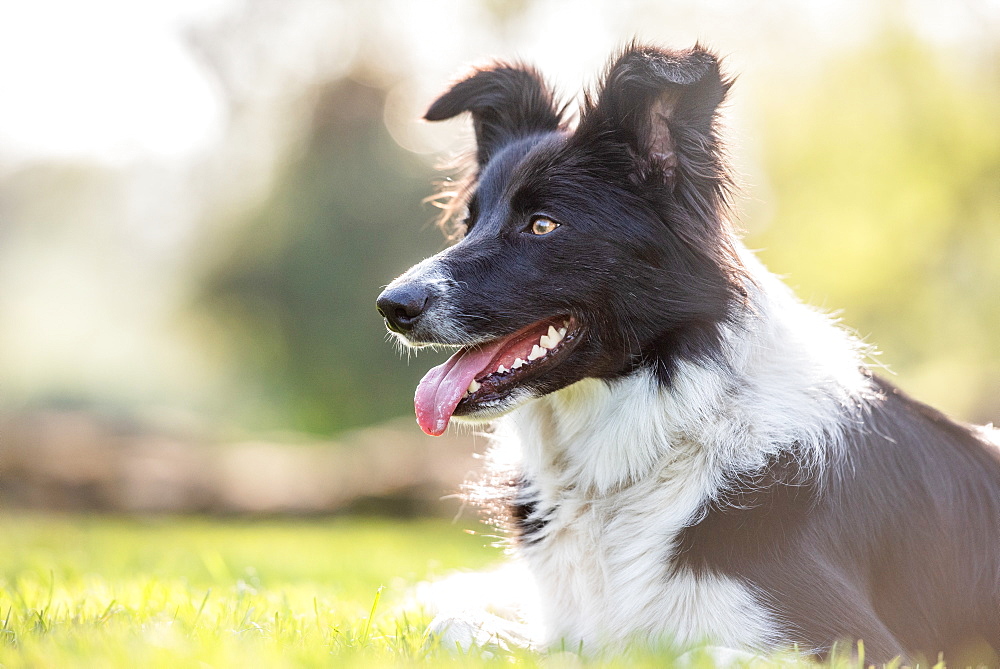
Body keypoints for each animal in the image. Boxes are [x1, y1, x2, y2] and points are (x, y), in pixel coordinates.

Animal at [374, 45, 1000, 664]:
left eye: (543, 224)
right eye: (468, 223)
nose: (391, 305)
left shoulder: (861, 644)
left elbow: (689, 651)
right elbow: (453, 624)